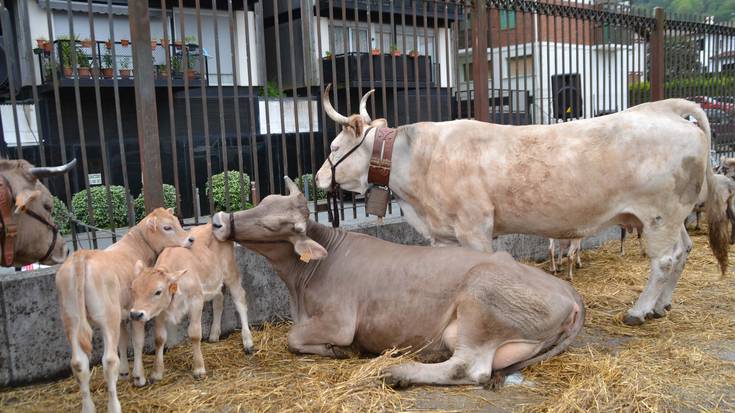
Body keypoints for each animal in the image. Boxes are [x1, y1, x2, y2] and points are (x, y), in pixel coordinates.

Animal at [56, 209, 194, 412]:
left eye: (177, 221)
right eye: (167, 227)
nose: (190, 239)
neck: (136, 245)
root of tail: (81, 256)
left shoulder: (123, 315)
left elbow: (123, 340)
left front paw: (124, 373)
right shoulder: (134, 312)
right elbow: (137, 341)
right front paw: (138, 376)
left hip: (71, 319)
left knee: (79, 362)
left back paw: (88, 407)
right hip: (108, 317)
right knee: (108, 361)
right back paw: (114, 406)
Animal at [131, 224, 258, 382]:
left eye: (158, 292)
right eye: (133, 289)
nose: (135, 314)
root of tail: (210, 224)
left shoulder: (196, 300)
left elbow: (194, 333)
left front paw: (199, 368)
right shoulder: (160, 311)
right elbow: (159, 339)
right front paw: (157, 372)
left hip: (230, 271)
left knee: (239, 299)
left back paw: (247, 341)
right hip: (214, 280)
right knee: (218, 300)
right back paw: (214, 335)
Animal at [208, 179, 588, 388]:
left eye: (275, 225)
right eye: (261, 202)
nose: (218, 220)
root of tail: (569, 291)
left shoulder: (339, 322)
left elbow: (294, 338)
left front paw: (342, 351)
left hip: (479, 305)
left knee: (469, 367)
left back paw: (396, 372)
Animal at [318, 87, 732, 326]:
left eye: (334, 148)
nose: (320, 179)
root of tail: (662, 109)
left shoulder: (474, 227)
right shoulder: (444, 232)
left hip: (659, 214)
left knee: (665, 260)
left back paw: (639, 311)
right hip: (674, 216)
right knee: (684, 251)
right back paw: (662, 305)